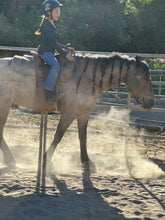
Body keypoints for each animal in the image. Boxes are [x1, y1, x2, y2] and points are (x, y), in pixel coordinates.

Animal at [0, 52, 154, 167]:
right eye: (146, 78)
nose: (151, 102)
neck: (88, 77)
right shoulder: (69, 113)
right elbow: (58, 136)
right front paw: (46, 158)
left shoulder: (84, 114)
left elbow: (83, 136)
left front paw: (86, 159)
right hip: (4, 106)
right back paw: (10, 159)